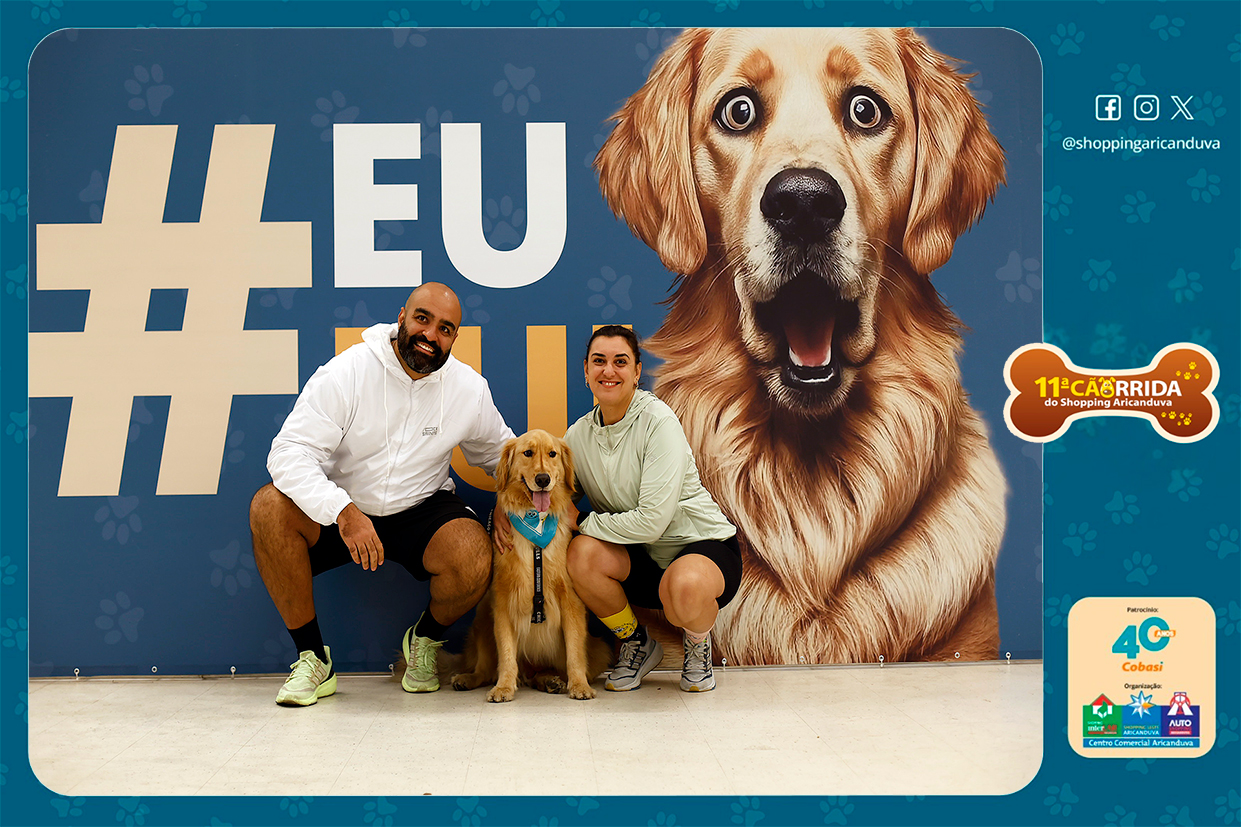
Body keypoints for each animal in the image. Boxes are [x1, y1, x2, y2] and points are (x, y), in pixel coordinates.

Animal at [450, 430, 611, 701]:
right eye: (528, 453)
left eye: (552, 454)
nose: (543, 479)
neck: (535, 523)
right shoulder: (502, 599)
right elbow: (506, 653)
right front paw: (504, 686)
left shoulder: (571, 600)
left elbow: (575, 652)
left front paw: (579, 685)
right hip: (482, 616)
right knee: (485, 669)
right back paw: (468, 678)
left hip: (597, 648)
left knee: (549, 670)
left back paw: (551, 681)